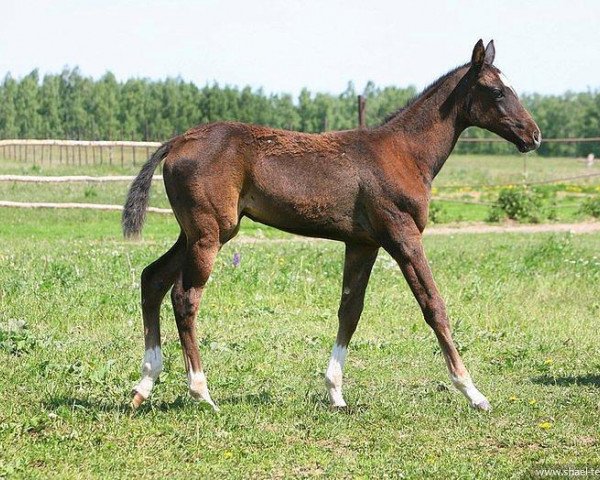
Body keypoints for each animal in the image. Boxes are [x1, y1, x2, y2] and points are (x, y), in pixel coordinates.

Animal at [124, 39, 540, 410]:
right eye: (497, 91)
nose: (533, 135)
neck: (404, 153)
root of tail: (178, 141)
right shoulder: (402, 235)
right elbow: (433, 305)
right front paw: (473, 392)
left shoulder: (363, 243)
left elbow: (350, 310)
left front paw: (336, 393)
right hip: (211, 234)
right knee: (184, 297)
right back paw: (201, 392)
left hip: (192, 233)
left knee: (152, 278)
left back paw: (144, 385)